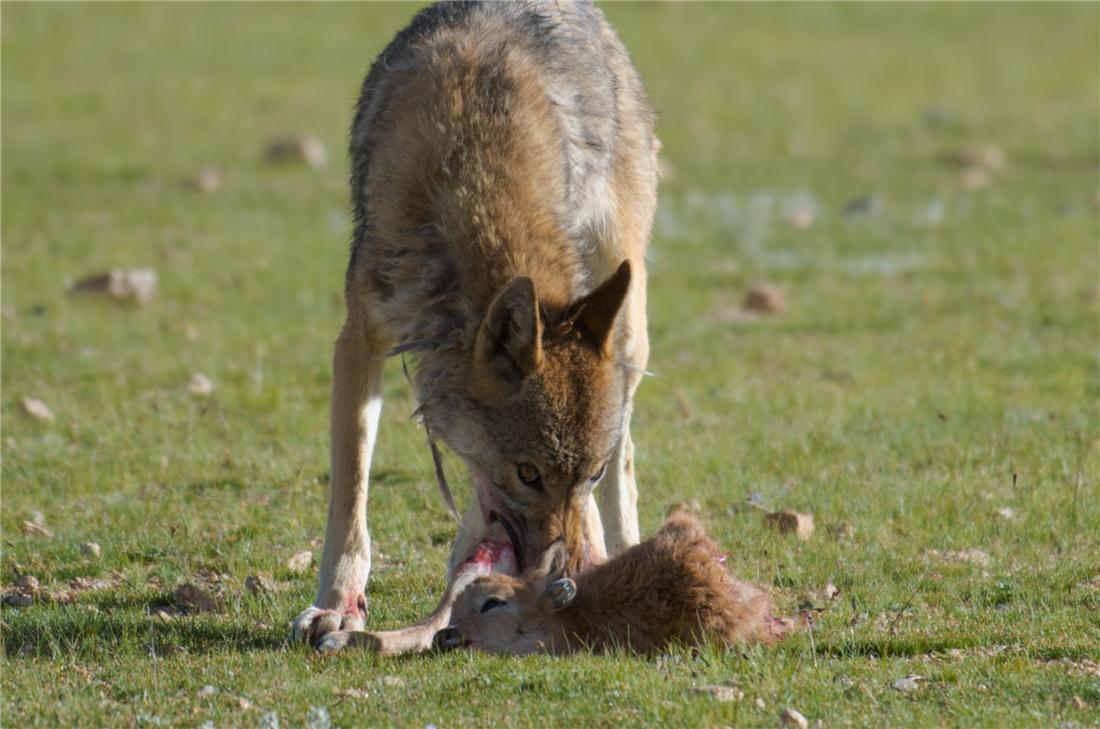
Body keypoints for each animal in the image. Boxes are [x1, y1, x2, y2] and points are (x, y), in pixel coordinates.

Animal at [288, 0, 655, 650]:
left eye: (588, 472)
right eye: (528, 473)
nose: (565, 579)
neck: (474, 170)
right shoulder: (359, 340)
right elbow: (350, 492)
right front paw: (337, 606)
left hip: (630, 320)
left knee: (627, 458)